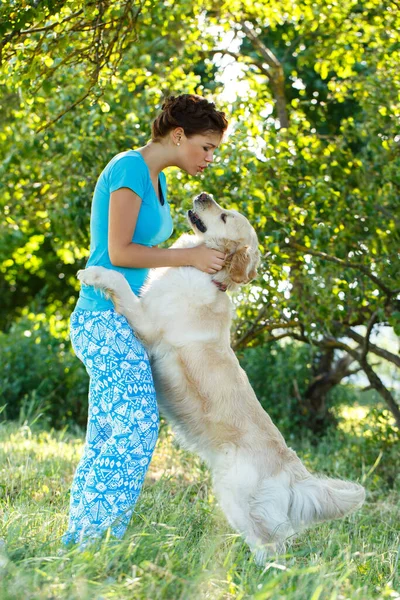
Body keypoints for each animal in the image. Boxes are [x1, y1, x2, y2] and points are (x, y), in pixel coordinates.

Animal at [78, 191, 366, 564]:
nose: (203, 194)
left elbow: (121, 285)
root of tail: (293, 472)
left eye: (225, 216)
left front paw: (93, 272)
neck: (208, 274)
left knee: (270, 545)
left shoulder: (147, 324)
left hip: (236, 497)